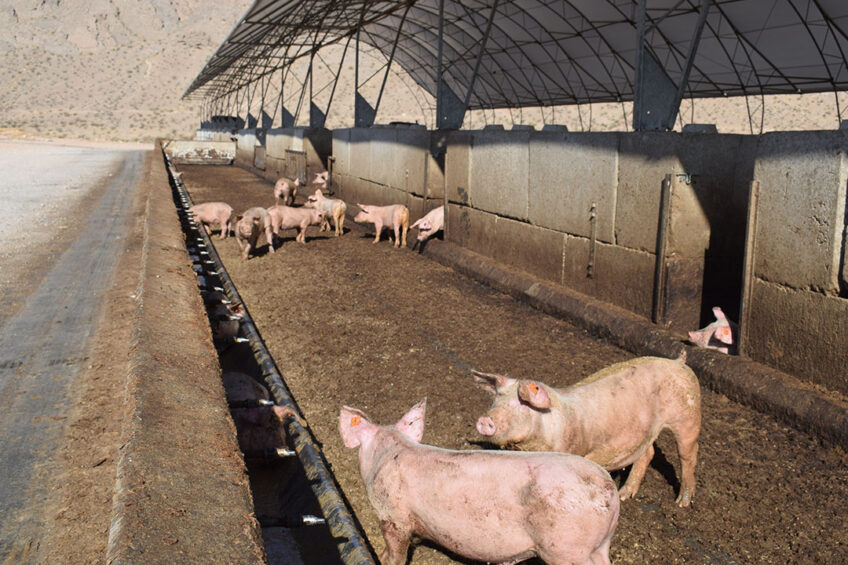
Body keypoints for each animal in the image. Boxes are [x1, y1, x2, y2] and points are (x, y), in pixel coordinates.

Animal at [342, 396, 620, 564]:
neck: (389, 453)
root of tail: (609, 488)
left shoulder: (393, 517)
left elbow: (395, 553)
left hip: (566, 548)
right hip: (598, 546)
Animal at [470, 352, 704, 506]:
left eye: (522, 404)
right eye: (496, 400)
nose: (485, 420)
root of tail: (678, 361)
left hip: (688, 417)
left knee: (688, 455)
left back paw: (681, 503)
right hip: (644, 432)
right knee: (649, 453)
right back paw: (624, 495)